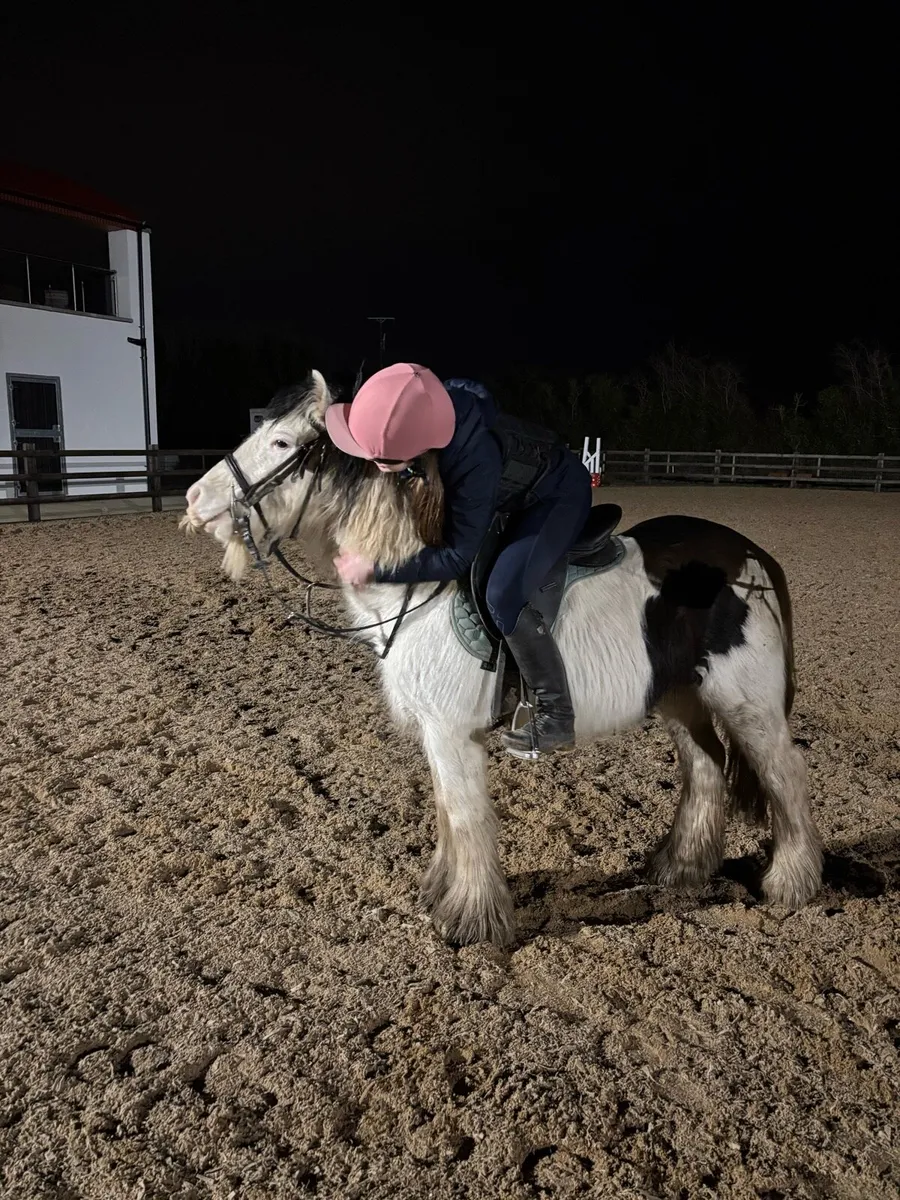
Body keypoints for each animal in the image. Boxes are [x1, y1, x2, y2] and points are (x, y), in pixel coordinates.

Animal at [181, 371, 823, 946]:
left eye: (282, 443)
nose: (194, 499)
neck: (416, 589)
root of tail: (752, 557)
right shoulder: (436, 732)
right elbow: (446, 810)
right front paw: (441, 893)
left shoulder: (451, 730)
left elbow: (467, 817)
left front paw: (471, 921)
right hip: (680, 697)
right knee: (705, 766)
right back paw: (681, 869)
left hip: (749, 705)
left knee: (784, 774)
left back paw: (791, 884)